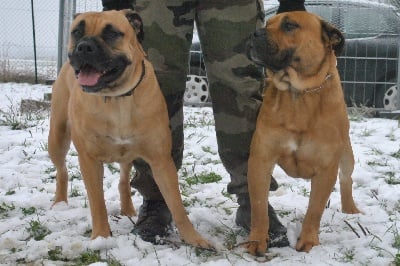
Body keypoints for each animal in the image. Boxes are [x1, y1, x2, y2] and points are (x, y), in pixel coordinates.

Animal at [48, 8, 211, 249]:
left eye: (112, 33)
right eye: (77, 32)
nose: (84, 47)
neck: (118, 98)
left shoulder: (161, 160)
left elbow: (177, 204)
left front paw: (195, 238)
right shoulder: (89, 159)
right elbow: (97, 203)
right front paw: (101, 238)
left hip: (127, 156)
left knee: (124, 180)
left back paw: (127, 209)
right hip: (57, 138)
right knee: (62, 171)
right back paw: (59, 203)